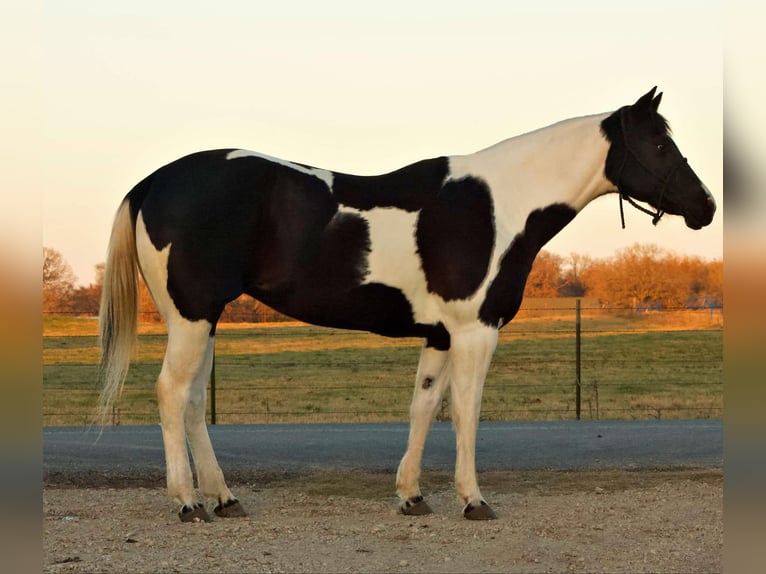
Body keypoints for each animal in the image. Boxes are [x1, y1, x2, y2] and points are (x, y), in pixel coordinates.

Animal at [98, 87, 715, 522]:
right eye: (659, 144)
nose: (705, 206)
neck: (500, 205)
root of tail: (155, 181)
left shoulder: (440, 333)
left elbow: (424, 406)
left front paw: (412, 496)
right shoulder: (475, 329)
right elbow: (465, 411)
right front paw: (473, 500)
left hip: (204, 319)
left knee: (192, 401)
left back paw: (224, 498)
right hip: (192, 316)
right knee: (171, 394)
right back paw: (188, 503)